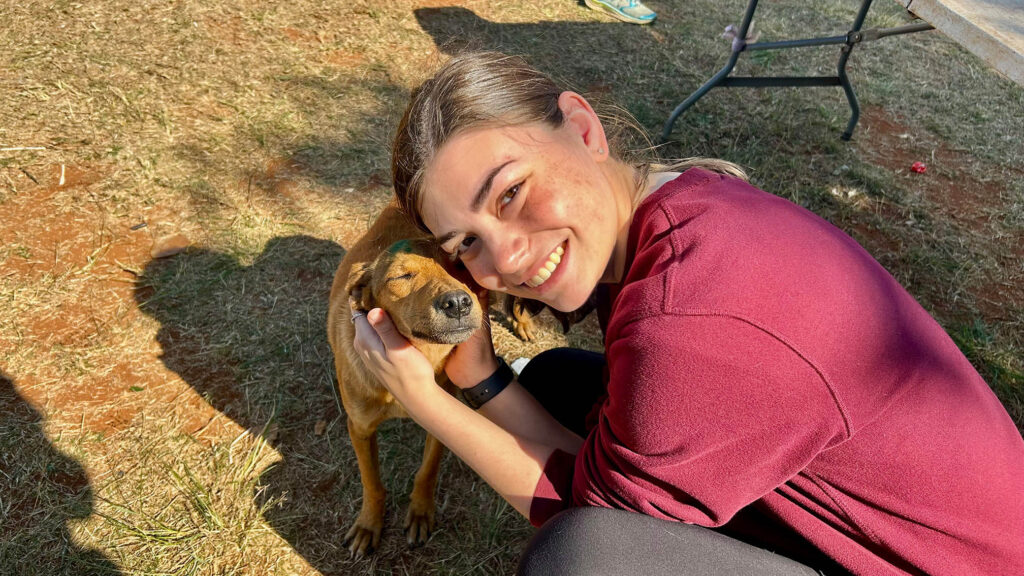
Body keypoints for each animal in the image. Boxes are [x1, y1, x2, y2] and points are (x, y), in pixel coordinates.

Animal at [329, 202, 485, 557]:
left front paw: (420, 512)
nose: (458, 303)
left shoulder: (442, 418)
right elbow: (371, 482)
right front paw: (369, 525)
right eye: (401, 277)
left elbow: (427, 471)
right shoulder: (359, 428)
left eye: (458, 268)